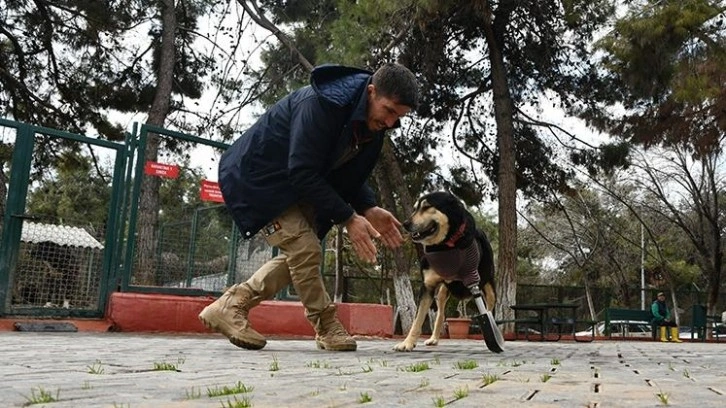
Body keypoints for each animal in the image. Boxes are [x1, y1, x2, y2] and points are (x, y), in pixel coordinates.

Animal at [396, 191, 498, 350]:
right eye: (414, 209)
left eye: (427, 207)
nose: (405, 224)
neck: (443, 246)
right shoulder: (427, 286)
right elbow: (417, 319)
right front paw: (407, 343)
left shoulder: (472, 279)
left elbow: (485, 314)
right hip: (442, 292)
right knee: (440, 314)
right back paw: (434, 338)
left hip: (489, 287)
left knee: (489, 309)